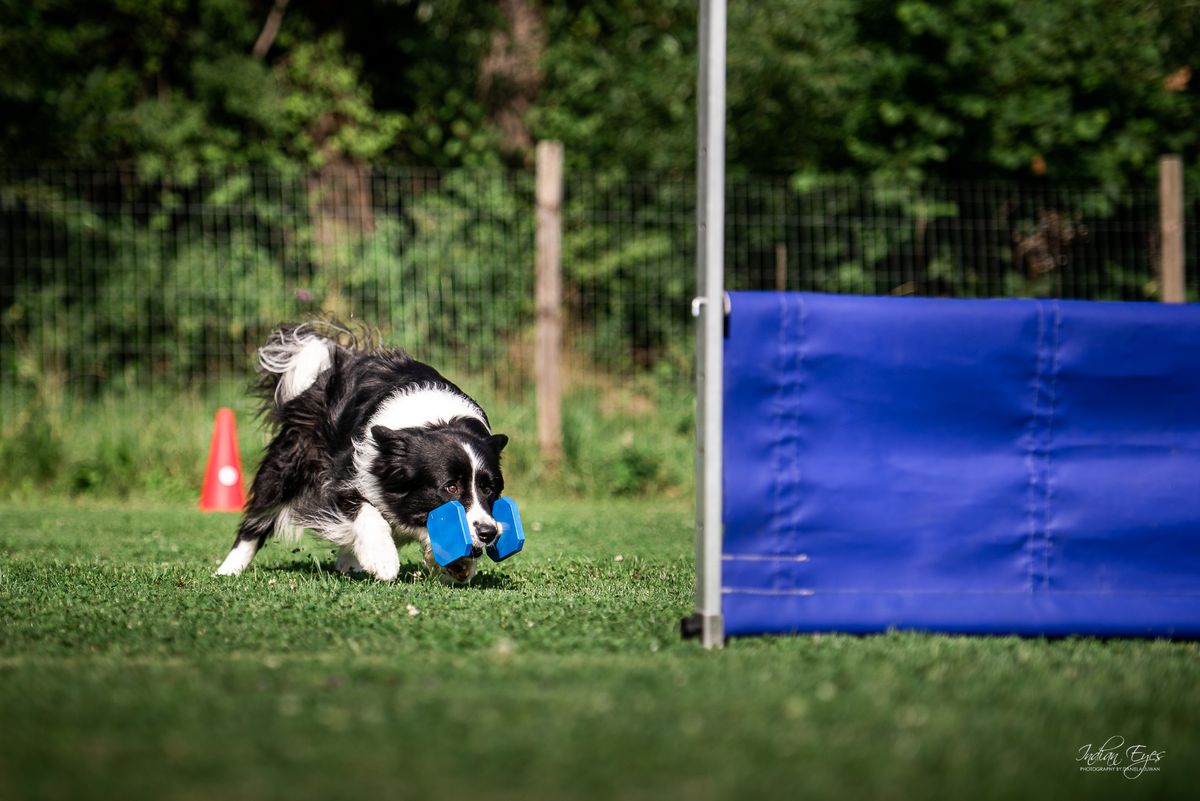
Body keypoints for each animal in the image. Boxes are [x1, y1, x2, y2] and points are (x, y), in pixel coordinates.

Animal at [216, 321, 506, 585]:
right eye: (451, 487)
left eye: (488, 488)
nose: (488, 533)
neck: (437, 420)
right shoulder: (344, 472)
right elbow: (365, 510)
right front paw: (383, 561)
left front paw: (459, 563)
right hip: (291, 459)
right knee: (262, 511)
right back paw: (228, 569)